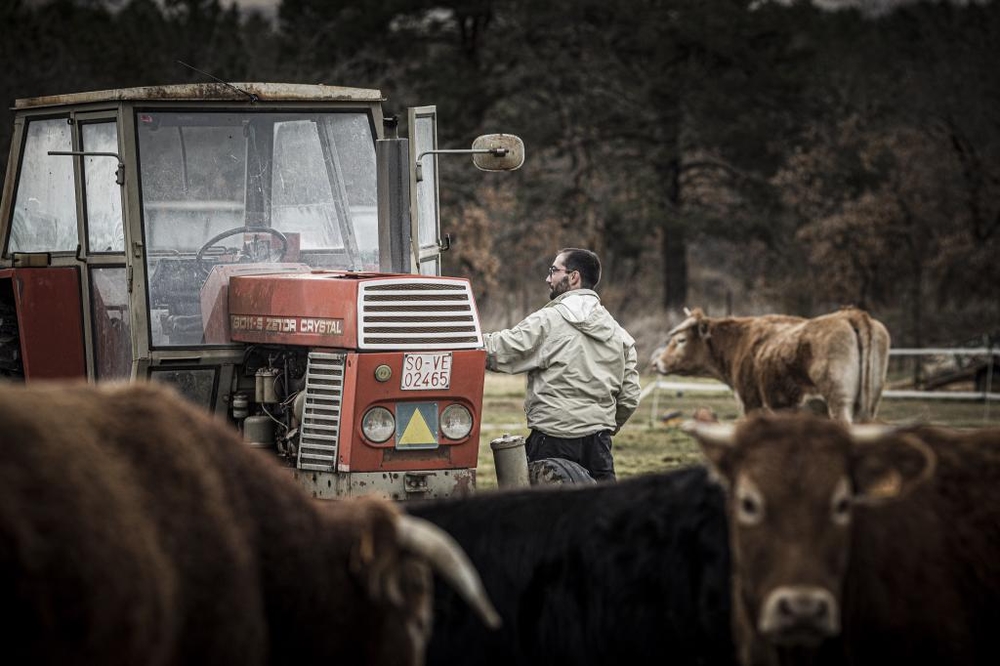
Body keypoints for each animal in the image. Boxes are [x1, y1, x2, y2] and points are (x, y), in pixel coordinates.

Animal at [656, 306, 892, 420]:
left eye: (681, 340)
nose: (657, 362)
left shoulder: (751, 405)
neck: (740, 341)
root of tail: (850, 315)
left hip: (839, 404)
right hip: (869, 406)